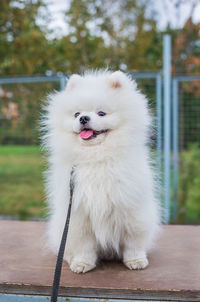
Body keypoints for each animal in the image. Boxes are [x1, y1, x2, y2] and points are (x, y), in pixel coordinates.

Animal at [41, 70, 159, 274]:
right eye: (77, 114)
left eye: (101, 113)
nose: (83, 118)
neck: (96, 158)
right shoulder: (79, 215)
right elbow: (83, 245)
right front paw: (82, 263)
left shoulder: (132, 210)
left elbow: (133, 241)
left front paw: (135, 260)